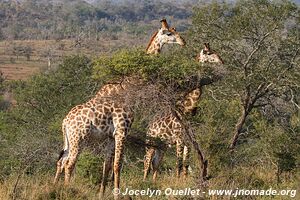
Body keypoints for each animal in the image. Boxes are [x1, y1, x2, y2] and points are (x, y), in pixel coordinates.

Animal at [53, 18, 185, 198]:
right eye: (169, 33)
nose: (183, 41)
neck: (129, 88)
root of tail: (65, 122)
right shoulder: (122, 131)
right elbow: (118, 164)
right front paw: (117, 194)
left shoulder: (110, 136)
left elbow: (107, 165)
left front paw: (101, 194)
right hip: (78, 138)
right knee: (69, 164)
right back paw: (68, 191)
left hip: (68, 139)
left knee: (61, 161)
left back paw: (54, 187)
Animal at [143, 43, 223, 181]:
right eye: (208, 52)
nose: (221, 61)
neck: (187, 110)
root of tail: (149, 126)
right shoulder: (179, 140)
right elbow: (178, 164)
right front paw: (177, 181)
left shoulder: (188, 142)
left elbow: (185, 165)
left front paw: (184, 181)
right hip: (150, 145)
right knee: (147, 165)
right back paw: (144, 182)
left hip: (162, 147)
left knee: (155, 165)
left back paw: (153, 182)